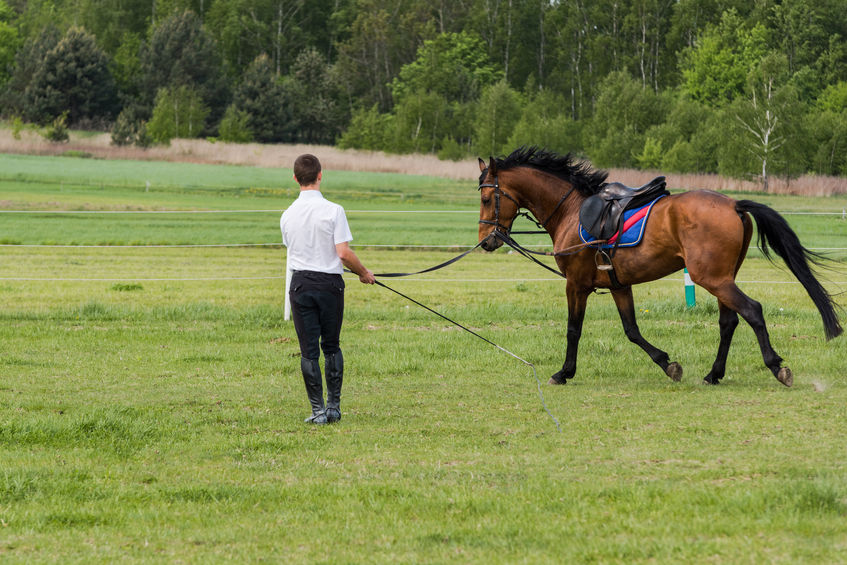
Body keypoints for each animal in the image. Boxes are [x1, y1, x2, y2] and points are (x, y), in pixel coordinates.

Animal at [476, 145, 840, 386]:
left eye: (485, 198)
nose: (486, 241)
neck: (571, 211)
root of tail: (733, 203)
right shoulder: (619, 286)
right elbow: (632, 330)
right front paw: (668, 364)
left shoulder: (575, 285)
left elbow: (573, 329)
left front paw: (564, 372)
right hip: (722, 279)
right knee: (729, 322)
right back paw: (714, 374)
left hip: (713, 279)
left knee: (752, 311)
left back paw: (776, 366)